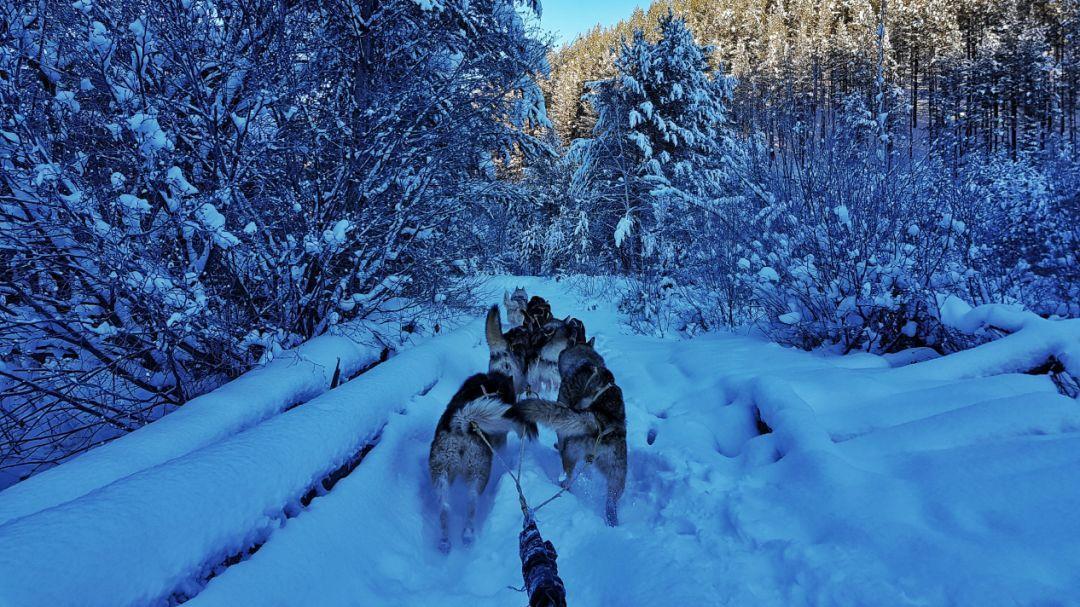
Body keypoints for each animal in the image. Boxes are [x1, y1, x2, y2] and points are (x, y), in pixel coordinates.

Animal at [425, 371, 535, 550]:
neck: (491, 388)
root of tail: (462, 423)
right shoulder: (500, 438)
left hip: (441, 472)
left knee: (445, 507)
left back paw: (445, 541)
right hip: (479, 473)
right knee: (471, 502)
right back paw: (468, 534)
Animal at [518, 341, 630, 524]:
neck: (587, 362)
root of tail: (600, 423)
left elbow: (560, 434)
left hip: (571, 452)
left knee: (567, 477)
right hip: (617, 474)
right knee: (612, 499)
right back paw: (612, 520)